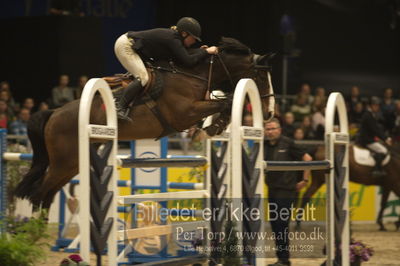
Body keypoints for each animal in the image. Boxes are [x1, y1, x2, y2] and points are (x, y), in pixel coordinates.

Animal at [14, 37, 274, 211]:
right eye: (261, 76)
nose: (270, 113)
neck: (193, 74)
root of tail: (55, 112)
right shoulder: (184, 113)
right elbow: (226, 102)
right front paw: (215, 125)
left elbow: (223, 103)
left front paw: (215, 126)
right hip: (63, 162)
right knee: (39, 192)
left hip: (72, 163)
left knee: (47, 194)